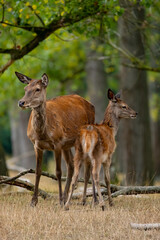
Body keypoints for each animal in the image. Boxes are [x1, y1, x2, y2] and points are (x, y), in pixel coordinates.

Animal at [15, 71, 95, 206]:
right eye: (25, 88)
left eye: (37, 89)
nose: (21, 102)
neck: (42, 133)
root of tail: (90, 104)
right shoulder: (36, 145)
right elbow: (38, 171)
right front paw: (33, 201)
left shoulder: (57, 143)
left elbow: (58, 172)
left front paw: (60, 200)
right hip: (67, 144)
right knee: (71, 166)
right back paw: (67, 198)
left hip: (85, 136)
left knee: (88, 167)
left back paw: (87, 200)